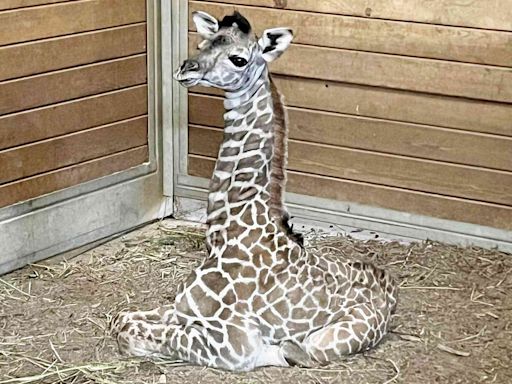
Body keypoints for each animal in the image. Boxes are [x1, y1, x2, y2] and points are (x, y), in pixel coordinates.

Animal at [112, 11, 398, 372]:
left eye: (239, 59)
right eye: (203, 43)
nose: (186, 68)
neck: (228, 232)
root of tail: (392, 293)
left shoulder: (233, 345)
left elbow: (132, 331)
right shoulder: (181, 309)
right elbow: (121, 319)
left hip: (325, 342)